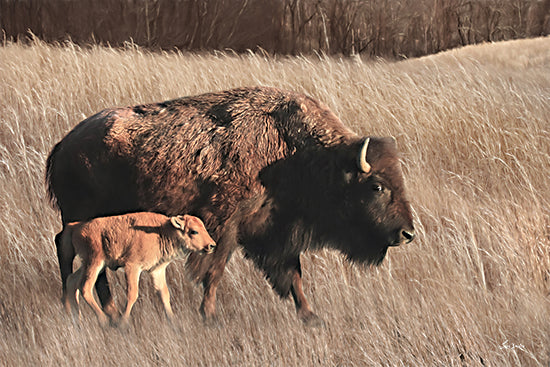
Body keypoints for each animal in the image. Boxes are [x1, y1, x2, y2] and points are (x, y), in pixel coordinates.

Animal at [61, 211, 215, 330]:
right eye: (194, 231)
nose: (211, 245)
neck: (162, 231)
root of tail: (75, 226)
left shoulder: (157, 270)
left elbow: (164, 294)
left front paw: (174, 323)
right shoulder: (132, 267)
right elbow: (132, 294)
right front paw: (123, 323)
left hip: (88, 264)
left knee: (72, 281)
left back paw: (78, 321)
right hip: (95, 262)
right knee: (85, 287)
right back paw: (103, 320)